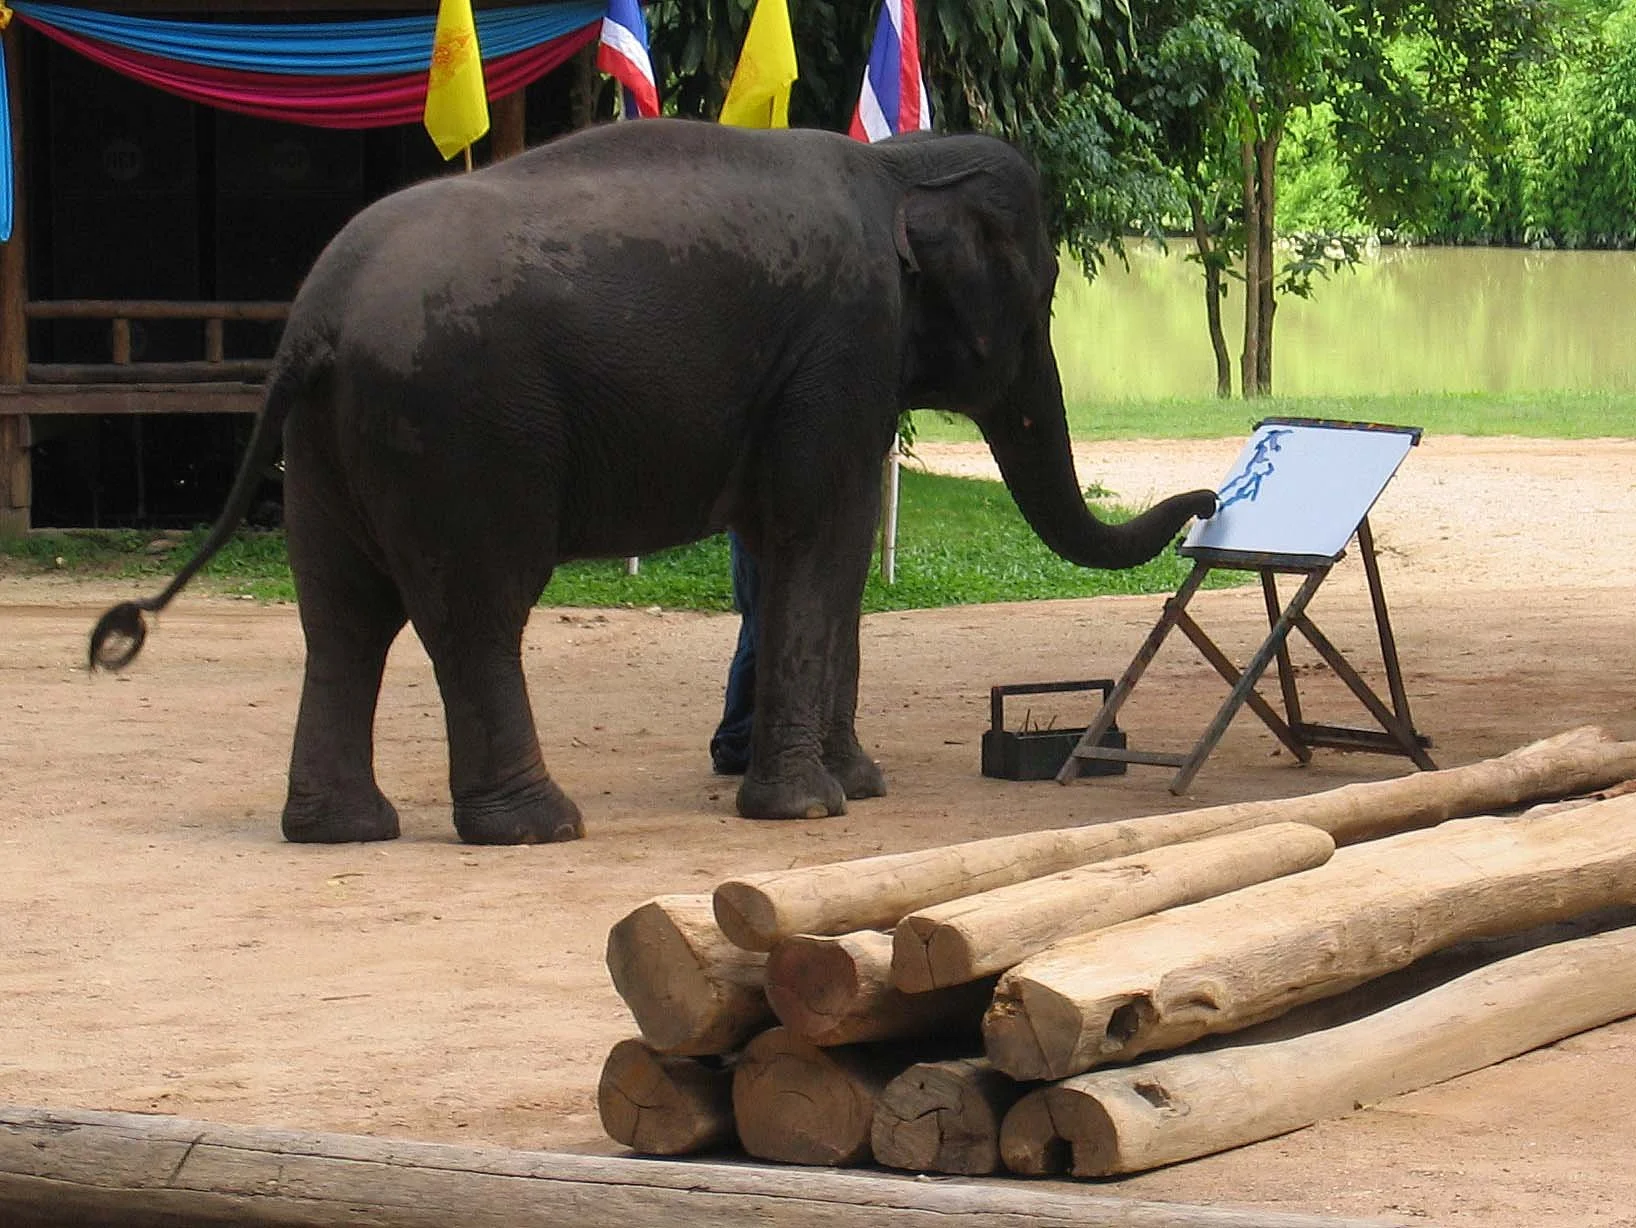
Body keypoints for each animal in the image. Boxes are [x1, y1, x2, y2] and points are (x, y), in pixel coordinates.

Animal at [88, 119, 1217, 845]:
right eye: (1043, 295)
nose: (1207, 500)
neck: (900, 162)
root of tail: (309, 323)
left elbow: (801, 547)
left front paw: (856, 785)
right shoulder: (842, 340)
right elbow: (820, 536)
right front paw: (815, 807)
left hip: (332, 443)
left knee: (343, 616)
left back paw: (343, 831)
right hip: (460, 428)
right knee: (474, 610)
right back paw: (538, 827)